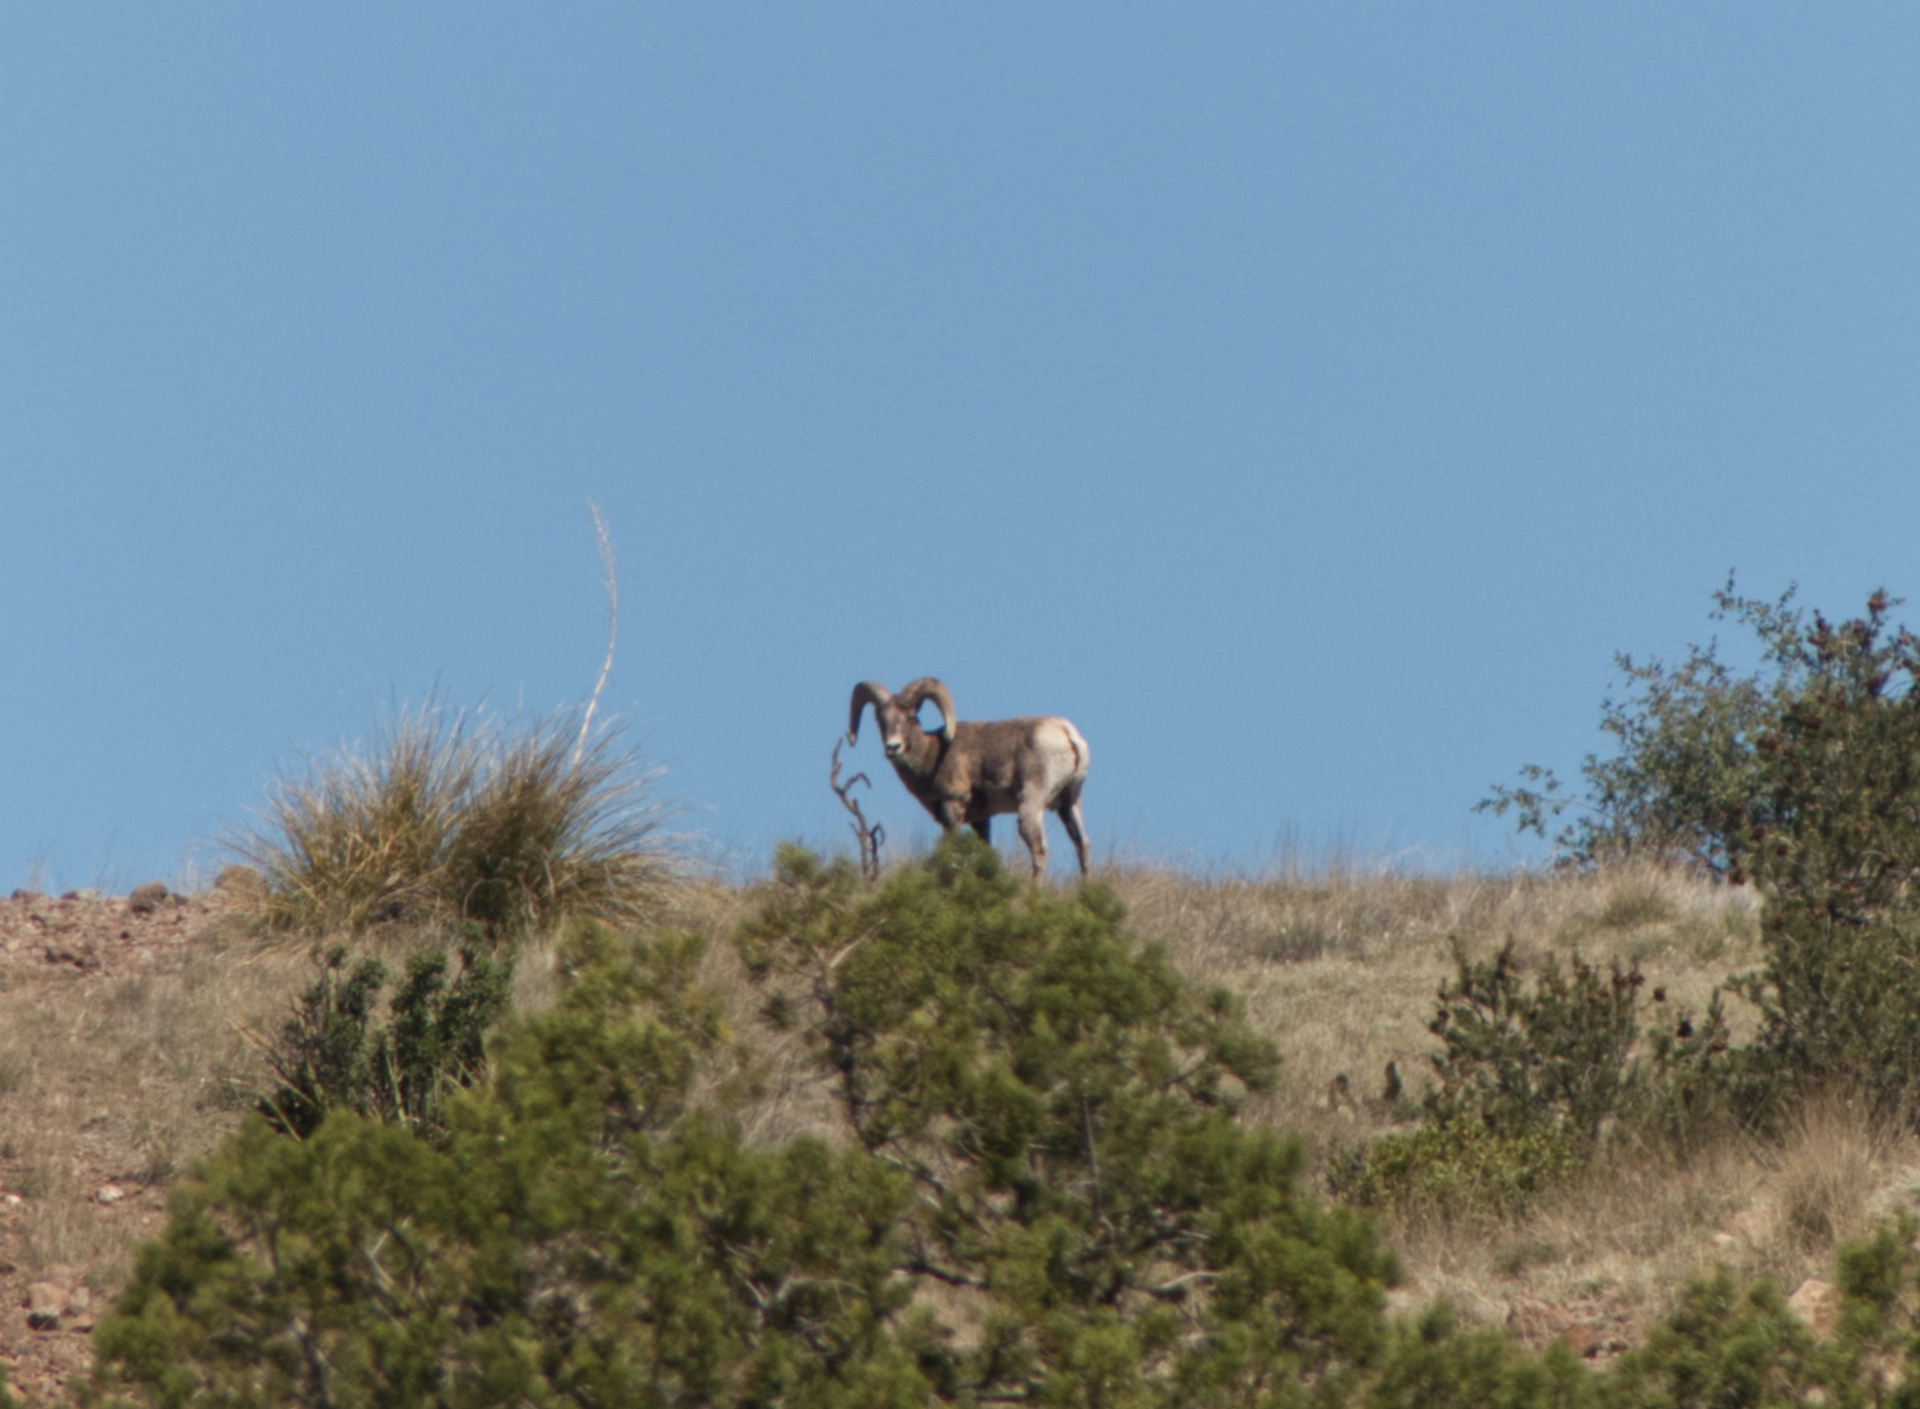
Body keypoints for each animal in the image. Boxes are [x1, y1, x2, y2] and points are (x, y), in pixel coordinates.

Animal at [844, 679, 1090, 879]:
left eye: (911, 717)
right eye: (880, 719)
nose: (893, 747)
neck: (930, 755)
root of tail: (1067, 733)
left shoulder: (952, 809)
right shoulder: (980, 820)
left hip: (1031, 804)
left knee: (1039, 849)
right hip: (1069, 804)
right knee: (1082, 845)